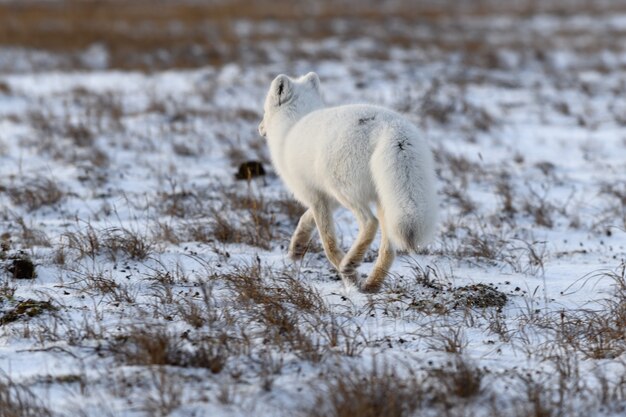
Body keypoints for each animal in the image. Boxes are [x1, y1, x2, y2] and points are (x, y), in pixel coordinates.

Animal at [256, 72, 436, 292]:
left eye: (265, 111)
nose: (260, 128)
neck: (291, 127)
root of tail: (392, 128)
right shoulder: (327, 198)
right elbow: (305, 219)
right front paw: (296, 250)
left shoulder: (315, 196)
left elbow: (328, 241)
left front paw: (348, 276)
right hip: (384, 199)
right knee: (388, 249)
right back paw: (371, 285)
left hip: (344, 189)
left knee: (370, 223)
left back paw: (349, 266)